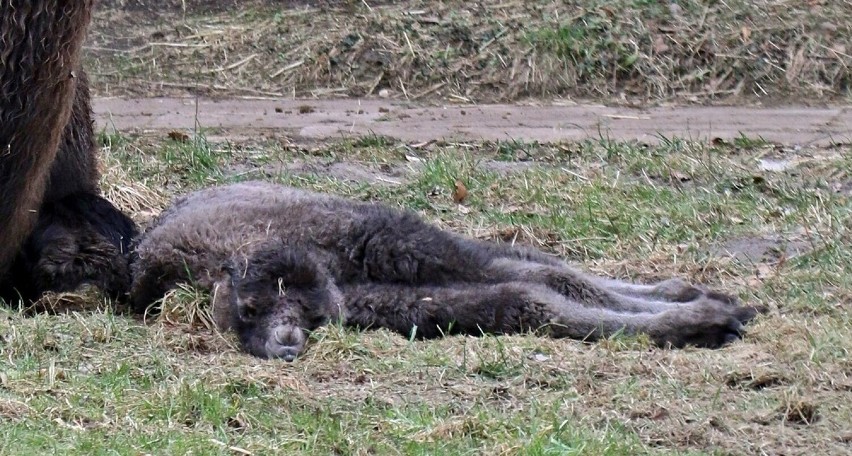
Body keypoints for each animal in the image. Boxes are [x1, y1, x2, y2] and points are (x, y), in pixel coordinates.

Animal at [131, 182, 760, 360]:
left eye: (251, 307)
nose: (282, 344)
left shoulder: (384, 245)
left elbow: (537, 283)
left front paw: (708, 317)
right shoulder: (386, 301)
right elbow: (523, 299)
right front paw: (702, 319)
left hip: (400, 236)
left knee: (535, 262)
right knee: (532, 269)